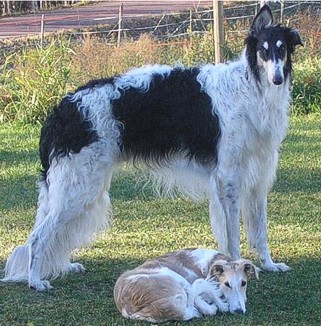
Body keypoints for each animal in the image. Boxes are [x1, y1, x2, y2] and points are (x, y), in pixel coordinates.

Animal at [2, 5, 302, 290]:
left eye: (281, 49)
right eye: (263, 51)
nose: (277, 79)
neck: (251, 88)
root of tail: (62, 109)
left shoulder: (257, 175)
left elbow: (260, 230)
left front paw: (269, 264)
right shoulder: (228, 176)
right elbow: (232, 235)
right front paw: (234, 268)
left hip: (78, 187)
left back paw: (64, 266)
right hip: (78, 187)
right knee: (38, 236)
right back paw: (35, 281)